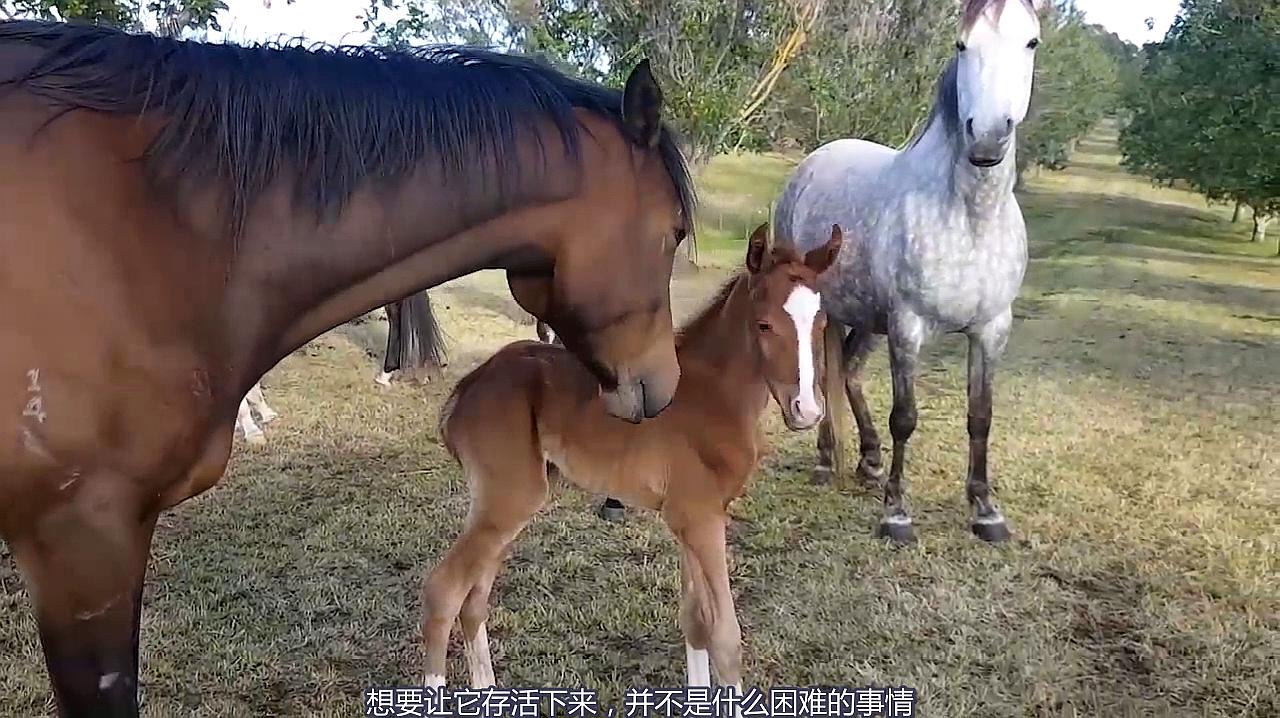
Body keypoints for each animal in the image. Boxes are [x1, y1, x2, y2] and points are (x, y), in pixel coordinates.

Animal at [424, 222, 844, 691]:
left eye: (821, 322)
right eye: (765, 324)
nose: (806, 410)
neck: (713, 393)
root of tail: (465, 389)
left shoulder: (688, 519)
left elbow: (695, 620)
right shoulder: (700, 518)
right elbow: (725, 636)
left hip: (502, 506)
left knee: (473, 599)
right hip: (511, 497)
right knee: (444, 592)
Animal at [773, 0, 1044, 542]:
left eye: (1031, 42)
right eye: (962, 44)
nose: (987, 137)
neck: (970, 217)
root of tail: (813, 160)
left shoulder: (991, 329)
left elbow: (980, 416)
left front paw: (986, 509)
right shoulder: (907, 327)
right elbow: (906, 417)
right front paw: (896, 514)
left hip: (864, 318)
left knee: (849, 372)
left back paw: (869, 460)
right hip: (830, 311)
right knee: (827, 374)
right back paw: (827, 460)